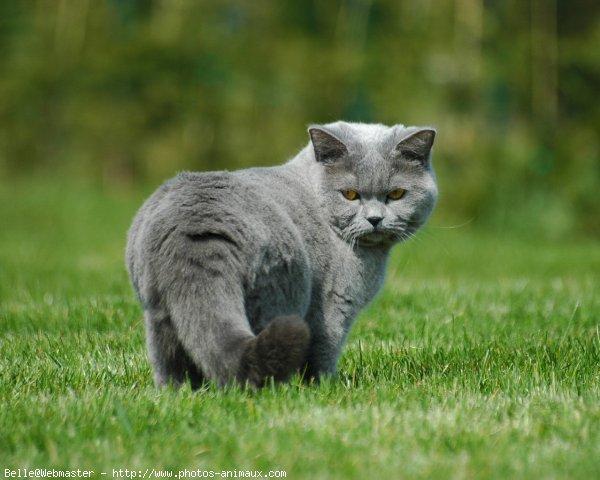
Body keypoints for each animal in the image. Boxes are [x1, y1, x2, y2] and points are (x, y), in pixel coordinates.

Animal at [125, 122, 436, 388]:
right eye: (349, 194)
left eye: (396, 194)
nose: (374, 219)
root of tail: (196, 223)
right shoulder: (334, 304)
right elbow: (324, 351)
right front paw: (325, 387)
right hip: (280, 296)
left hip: (159, 311)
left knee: (173, 362)